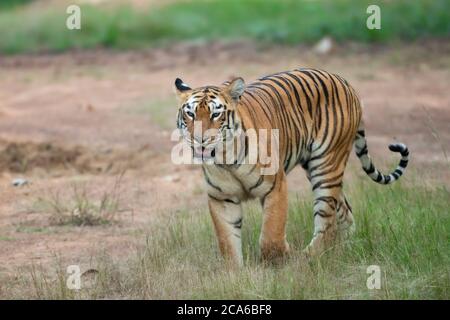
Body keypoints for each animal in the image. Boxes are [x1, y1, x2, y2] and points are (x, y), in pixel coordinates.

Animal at [174, 69, 410, 266]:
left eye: (216, 114)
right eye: (191, 114)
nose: (200, 140)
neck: (226, 158)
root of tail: (345, 82)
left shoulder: (275, 187)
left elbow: (271, 235)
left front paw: (284, 256)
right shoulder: (221, 198)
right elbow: (227, 242)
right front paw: (234, 274)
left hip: (326, 166)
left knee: (326, 220)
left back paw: (308, 257)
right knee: (343, 210)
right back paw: (348, 247)